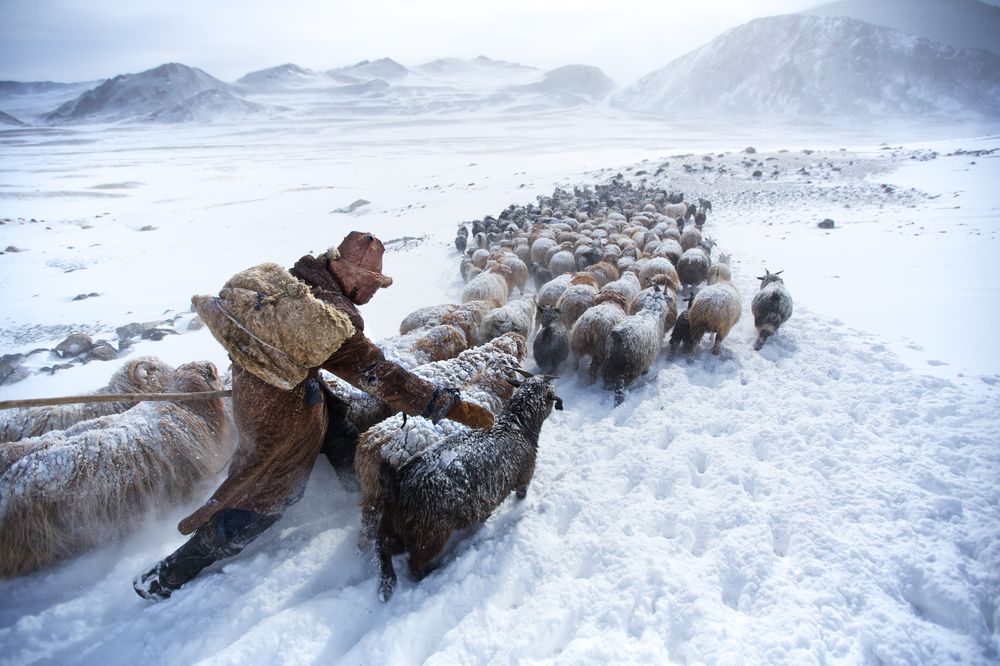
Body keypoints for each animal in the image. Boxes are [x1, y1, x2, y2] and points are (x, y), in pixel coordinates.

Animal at [376, 374, 564, 596]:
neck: (516, 425)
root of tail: (398, 484)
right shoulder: (524, 477)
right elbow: (521, 494)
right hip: (428, 534)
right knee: (414, 564)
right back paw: (430, 572)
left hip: (397, 525)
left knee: (384, 546)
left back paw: (387, 580)